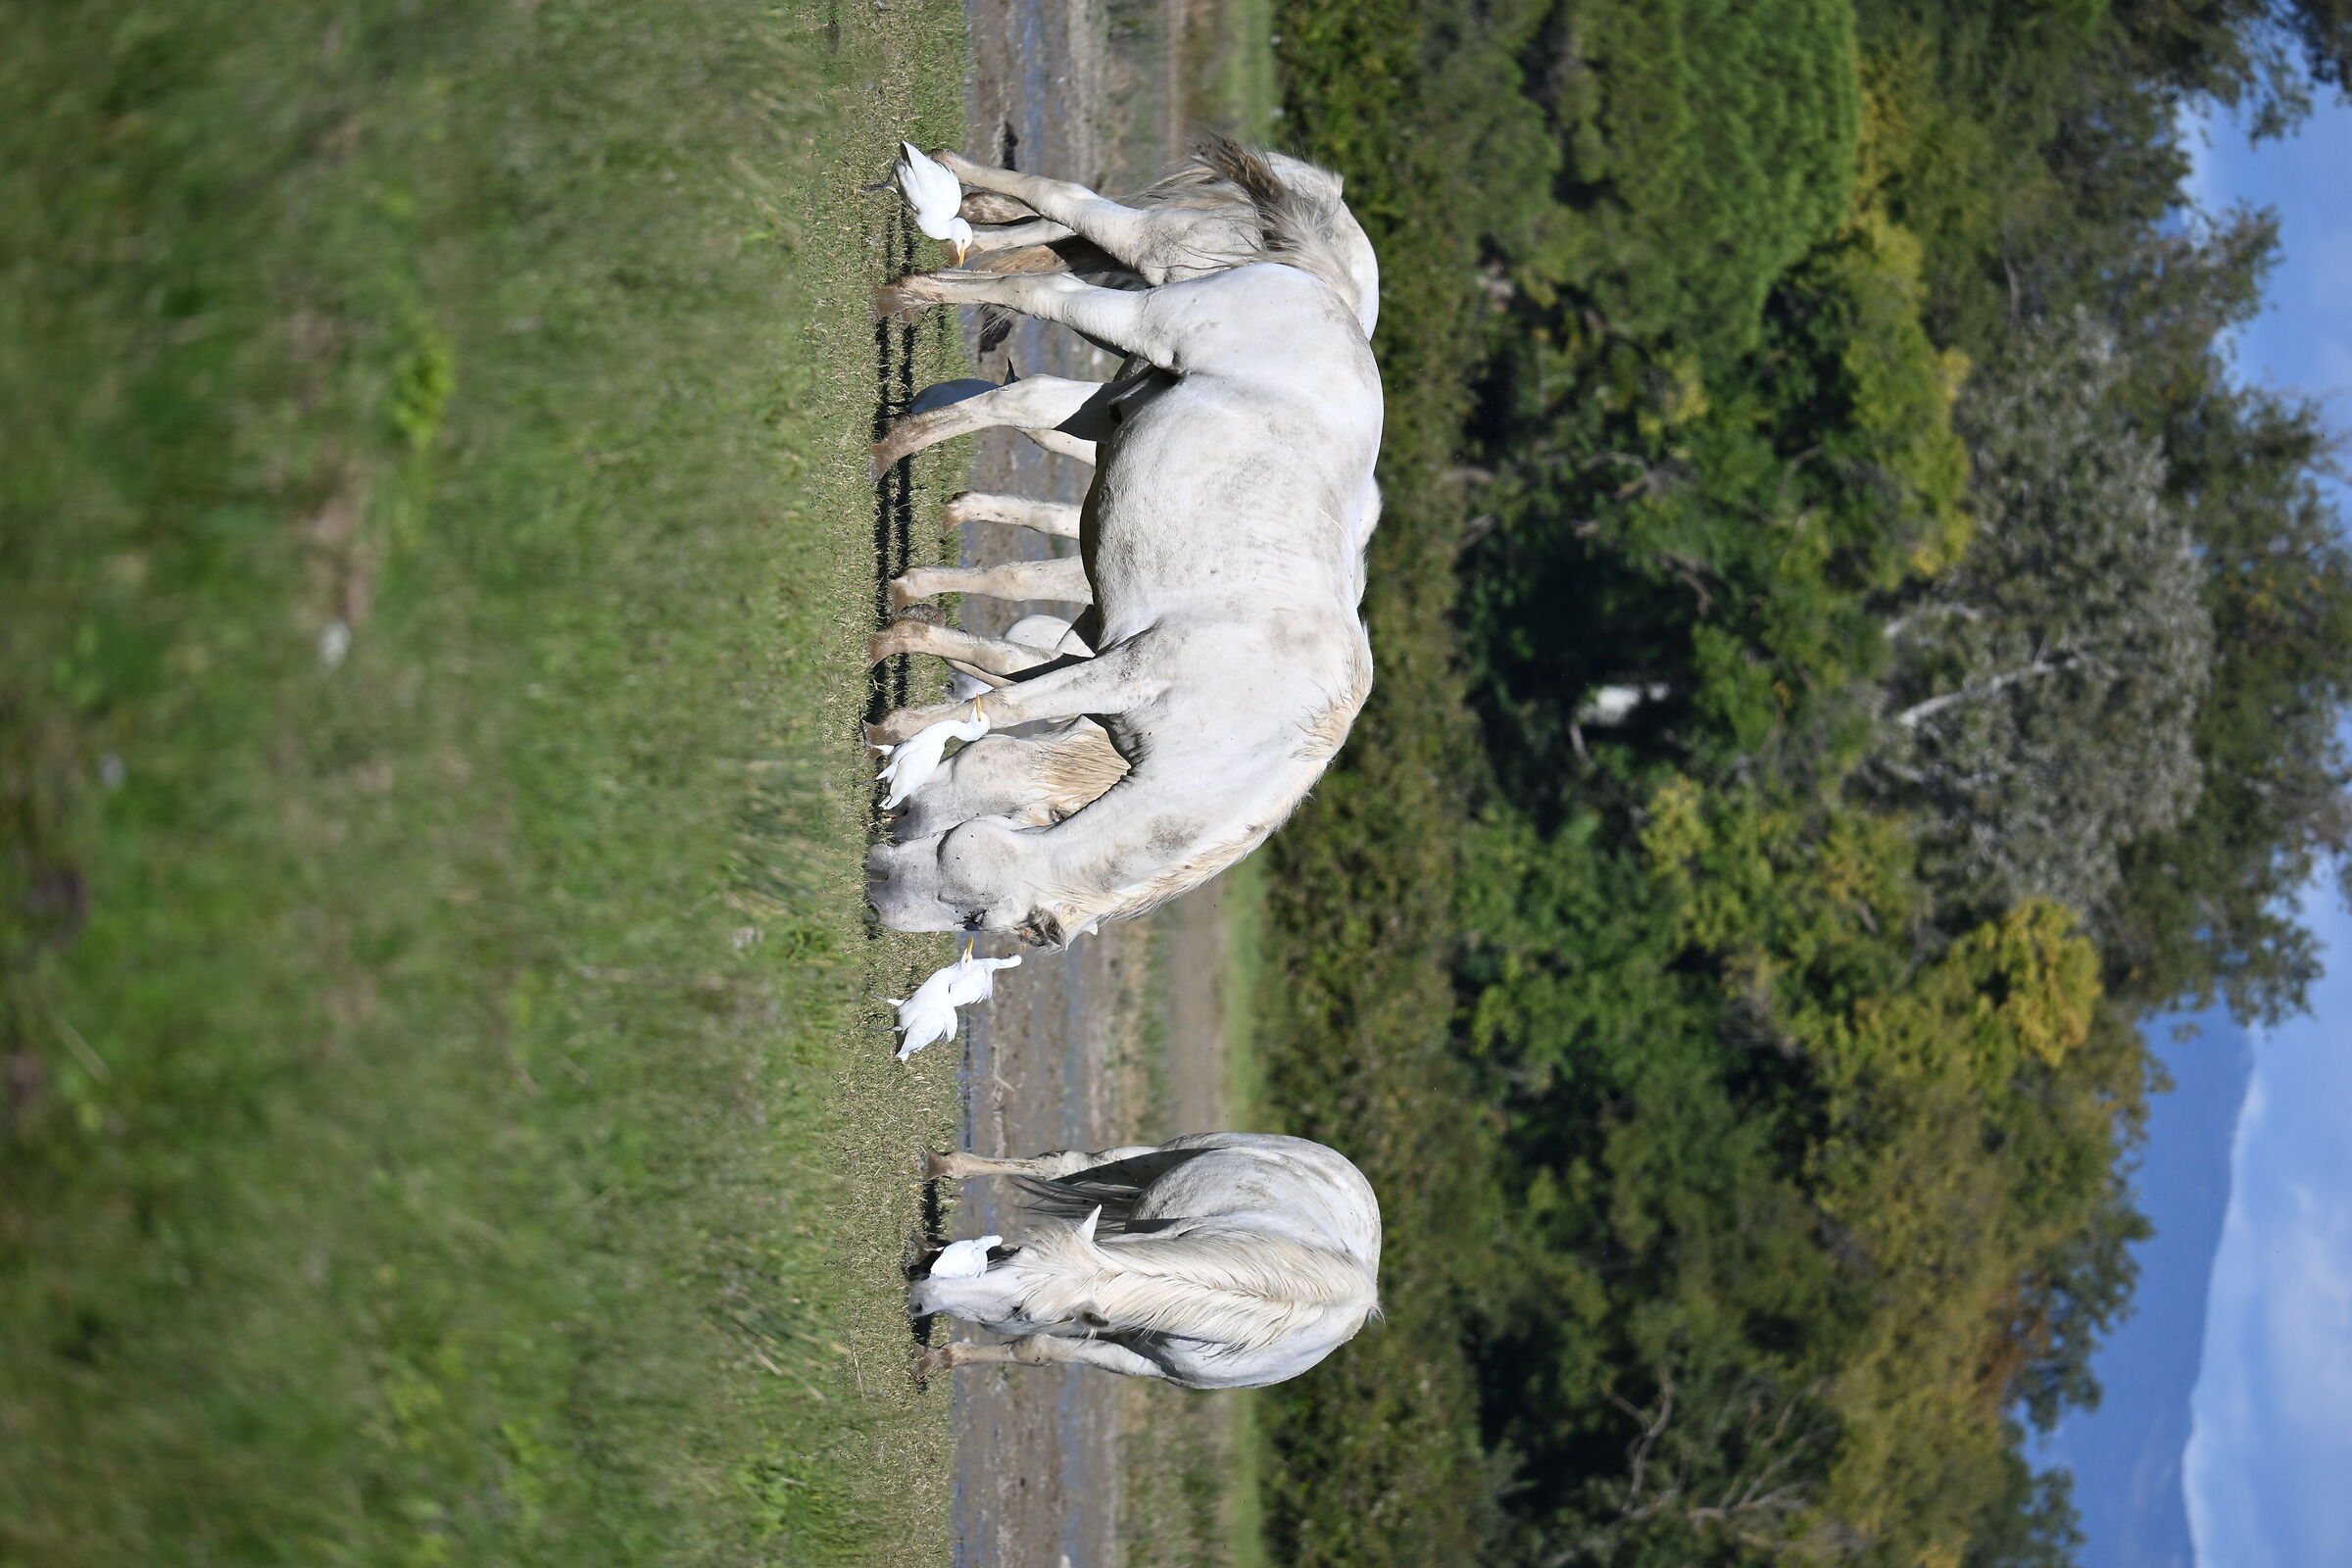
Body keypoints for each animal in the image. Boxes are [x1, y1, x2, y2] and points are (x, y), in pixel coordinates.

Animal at [911, 1132, 1382, 1388]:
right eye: (1019, 1253)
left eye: (1021, 1312)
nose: (920, 1291)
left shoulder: (1137, 1362)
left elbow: (1035, 1349)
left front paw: (940, 1358)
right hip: (1164, 1154)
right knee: (1067, 1166)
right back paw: (939, 1167)